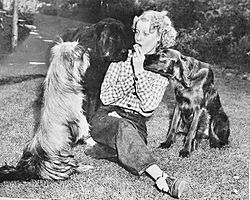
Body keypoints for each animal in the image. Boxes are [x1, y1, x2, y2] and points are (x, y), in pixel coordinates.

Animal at [0, 40, 92, 181]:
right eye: (80, 52)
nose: (87, 50)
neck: (61, 78)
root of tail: (28, 168)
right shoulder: (78, 115)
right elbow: (83, 125)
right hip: (65, 160)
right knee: (73, 168)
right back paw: (85, 167)